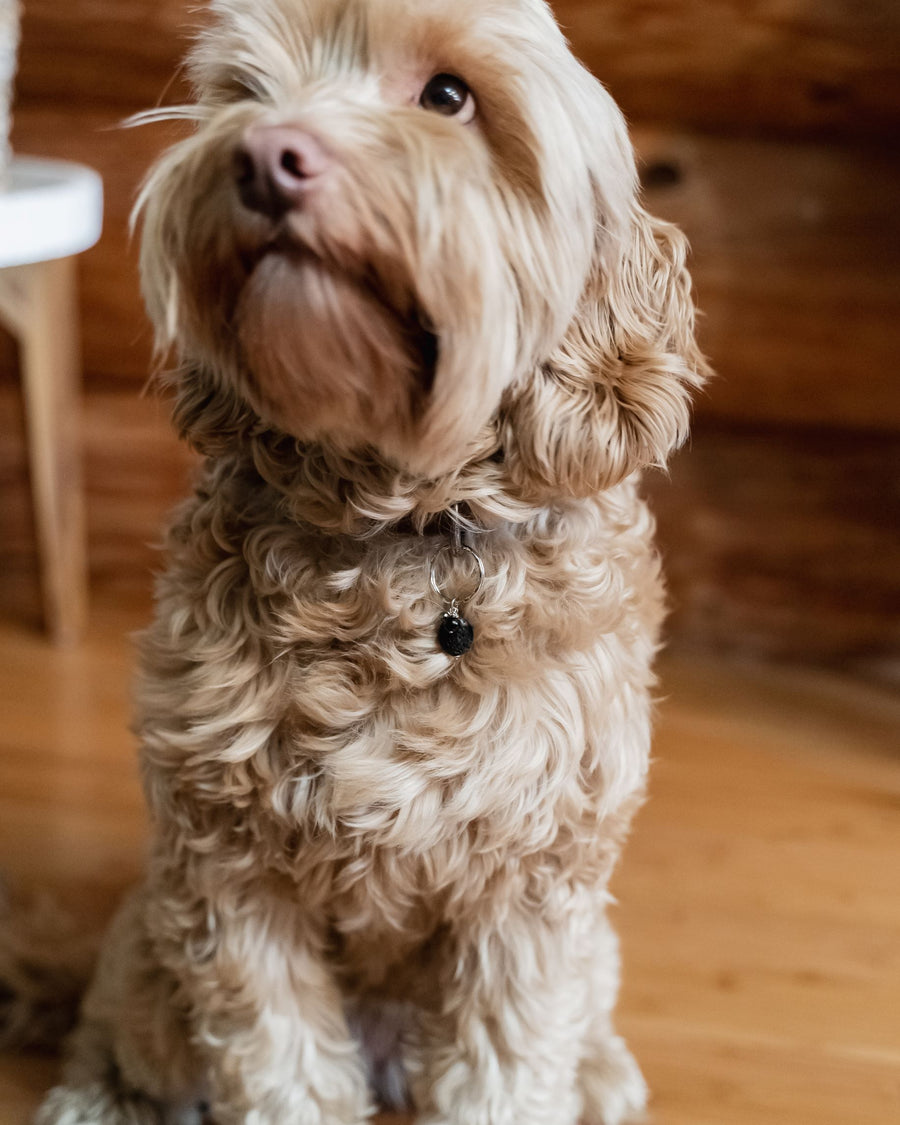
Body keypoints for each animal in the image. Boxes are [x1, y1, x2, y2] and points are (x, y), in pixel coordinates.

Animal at [21, 2, 706, 1125]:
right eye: (244, 92)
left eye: (448, 95)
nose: (264, 157)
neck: (410, 538)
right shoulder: (226, 876)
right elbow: (277, 1062)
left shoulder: (533, 889)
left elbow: (509, 1060)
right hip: (155, 946)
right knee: (116, 1027)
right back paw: (94, 1098)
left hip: (584, 932)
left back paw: (601, 1071)